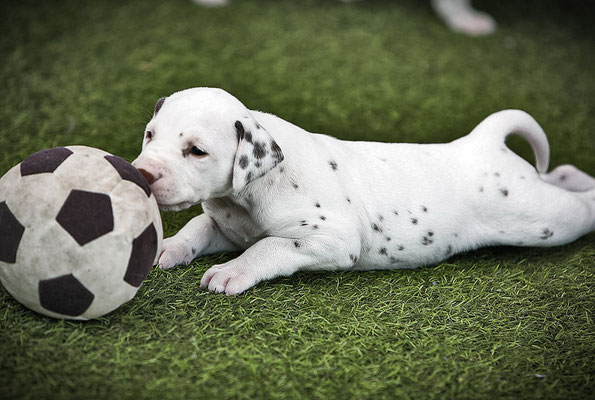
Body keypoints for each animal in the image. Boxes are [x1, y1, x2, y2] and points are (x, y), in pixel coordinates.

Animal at [135, 87, 595, 294]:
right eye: (149, 135)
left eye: (196, 151)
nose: (141, 173)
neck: (250, 191)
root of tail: (482, 142)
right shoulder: (226, 225)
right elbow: (198, 227)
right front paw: (168, 247)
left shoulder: (331, 238)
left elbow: (269, 246)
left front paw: (232, 271)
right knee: (562, 174)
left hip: (543, 220)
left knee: (581, 207)